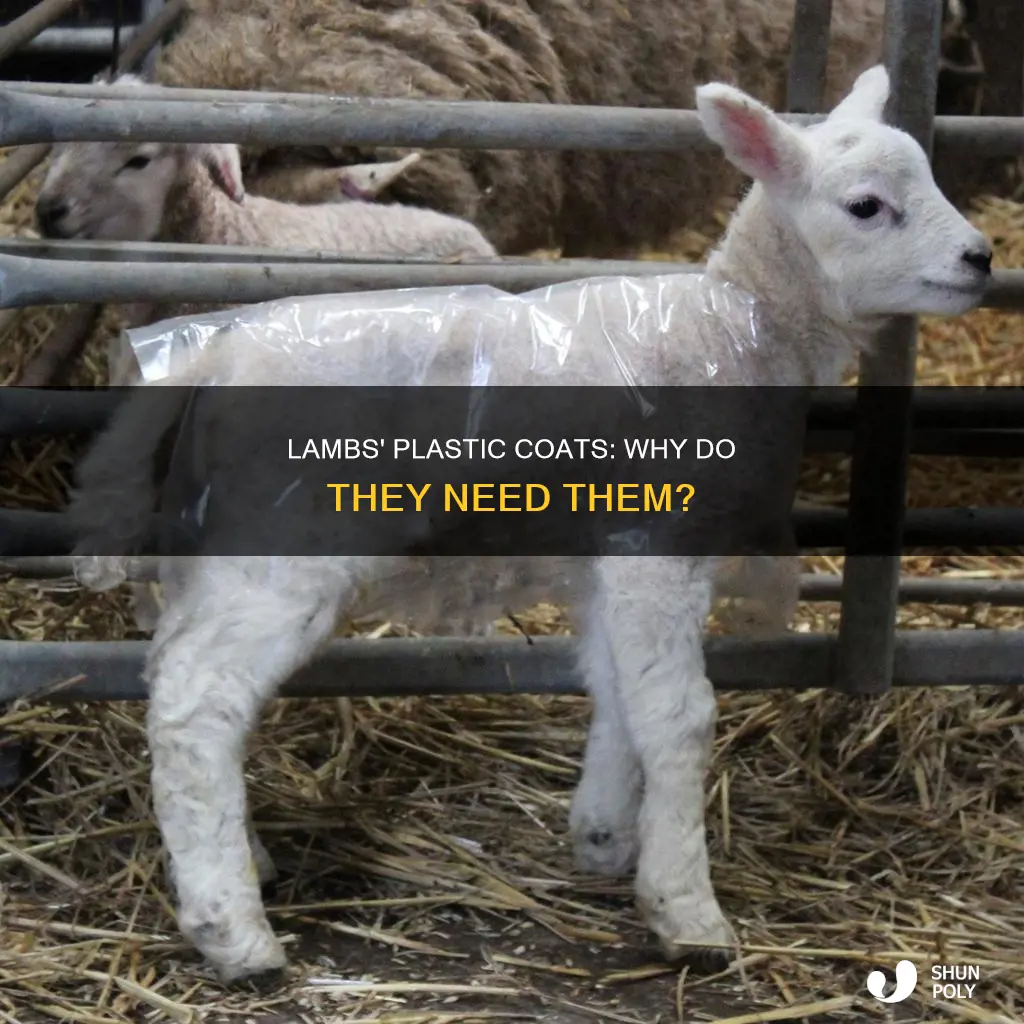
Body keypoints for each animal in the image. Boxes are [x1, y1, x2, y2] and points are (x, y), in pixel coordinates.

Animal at [68, 67, 993, 983]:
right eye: (866, 206)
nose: (981, 258)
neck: (734, 327)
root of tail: (209, 356)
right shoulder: (659, 548)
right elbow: (679, 715)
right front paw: (685, 907)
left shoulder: (611, 555)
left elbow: (619, 690)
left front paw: (606, 835)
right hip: (281, 547)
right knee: (197, 704)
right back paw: (232, 931)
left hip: (218, 545)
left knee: (173, 677)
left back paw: (239, 863)